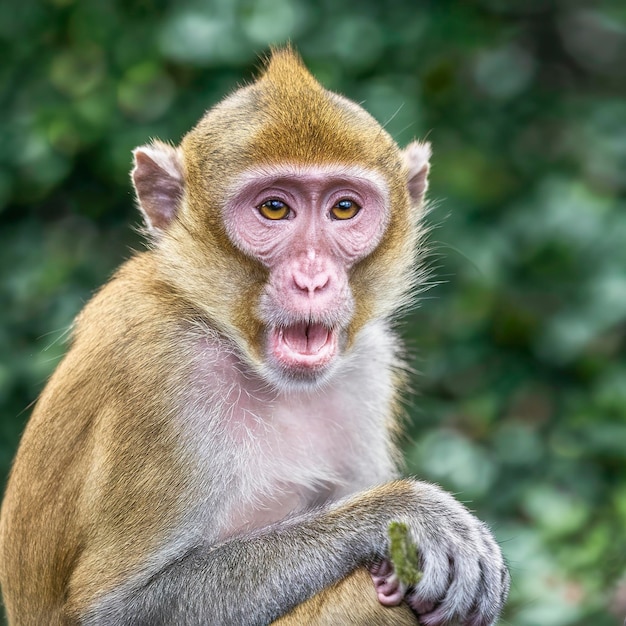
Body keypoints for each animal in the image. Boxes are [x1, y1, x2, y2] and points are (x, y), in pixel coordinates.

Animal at [0, 45, 508, 624]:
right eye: (274, 208)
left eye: (344, 208)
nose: (312, 279)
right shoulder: (160, 369)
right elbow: (120, 608)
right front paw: (406, 513)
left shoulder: (369, 365)